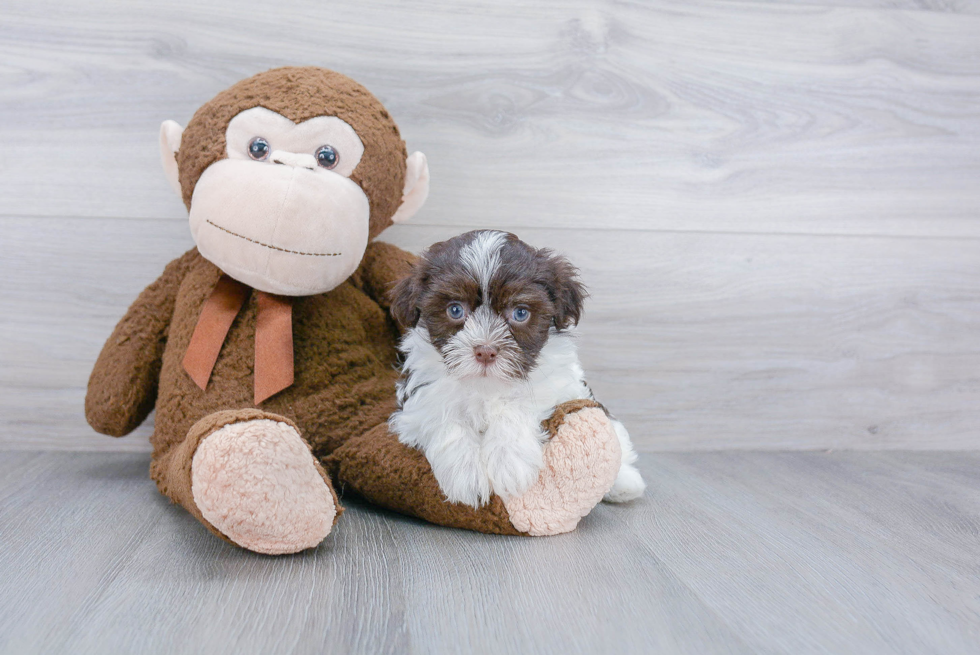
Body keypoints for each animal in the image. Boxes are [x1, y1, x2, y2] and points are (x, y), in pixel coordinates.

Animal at [386, 232, 648, 512]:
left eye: (520, 313)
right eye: (455, 310)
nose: (485, 351)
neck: (486, 386)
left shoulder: (557, 384)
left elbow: (516, 406)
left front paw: (509, 462)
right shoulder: (418, 398)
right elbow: (444, 418)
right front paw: (465, 474)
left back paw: (624, 483)